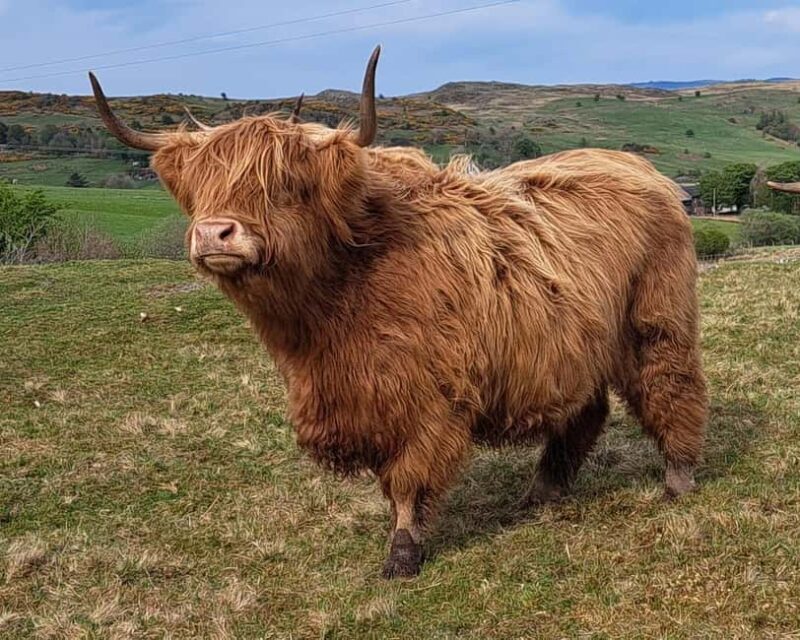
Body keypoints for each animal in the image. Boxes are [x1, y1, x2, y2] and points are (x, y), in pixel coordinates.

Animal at [89, 47, 708, 579]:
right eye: (199, 187)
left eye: (285, 186)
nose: (215, 233)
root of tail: (640, 168)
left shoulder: (429, 396)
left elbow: (409, 480)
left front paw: (403, 552)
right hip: (575, 342)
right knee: (584, 411)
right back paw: (543, 492)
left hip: (657, 319)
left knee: (670, 385)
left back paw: (678, 479)